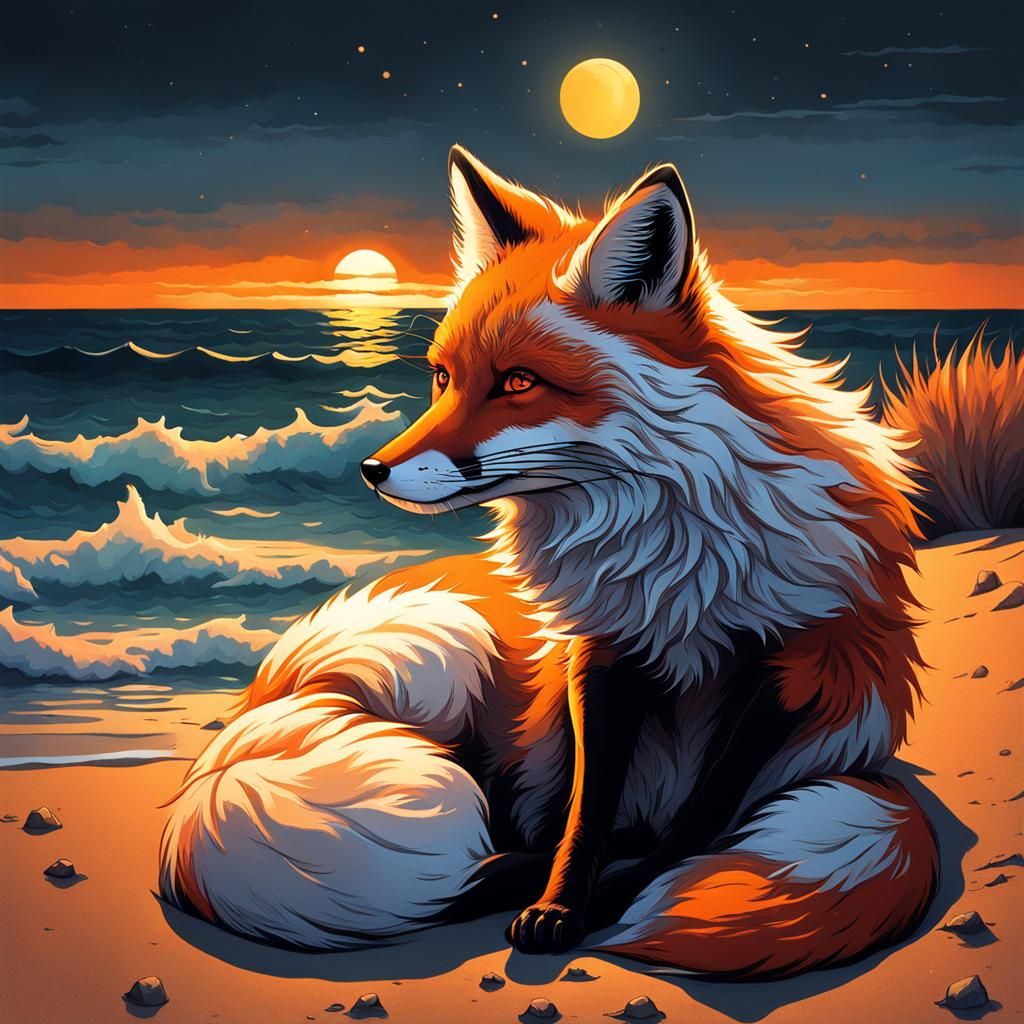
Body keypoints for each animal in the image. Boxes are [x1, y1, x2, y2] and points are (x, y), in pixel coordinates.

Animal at [159, 146, 939, 978]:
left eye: (518, 382)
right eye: (443, 378)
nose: (371, 470)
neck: (679, 570)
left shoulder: (796, 668)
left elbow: (698, 822)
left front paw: (620, 892)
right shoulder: (602, 655)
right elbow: (586, 812)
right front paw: (563, 901)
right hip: (446, 656)